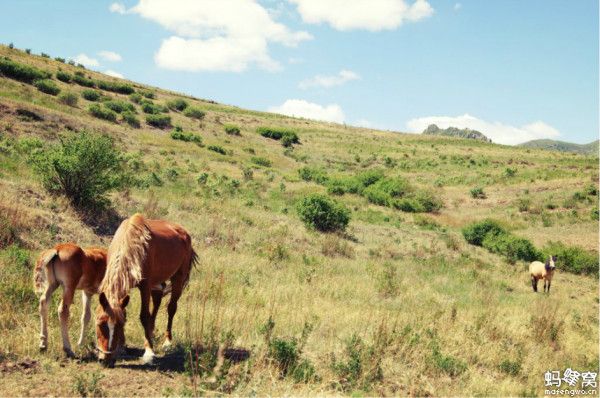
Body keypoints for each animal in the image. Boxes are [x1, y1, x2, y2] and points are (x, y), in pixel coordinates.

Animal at [95, 215, 196, 366]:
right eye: (100, 323)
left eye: (118, 325)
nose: (106, 360)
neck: (131, 242)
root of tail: (184, 233)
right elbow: (126, 312)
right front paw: (122, 346)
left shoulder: (145, 286)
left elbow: (144, 316)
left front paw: (149, 352)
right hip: (157, 282)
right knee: (157, 301)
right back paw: (152, 333)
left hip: (177, 278)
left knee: (171, 308)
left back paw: (167, 341)